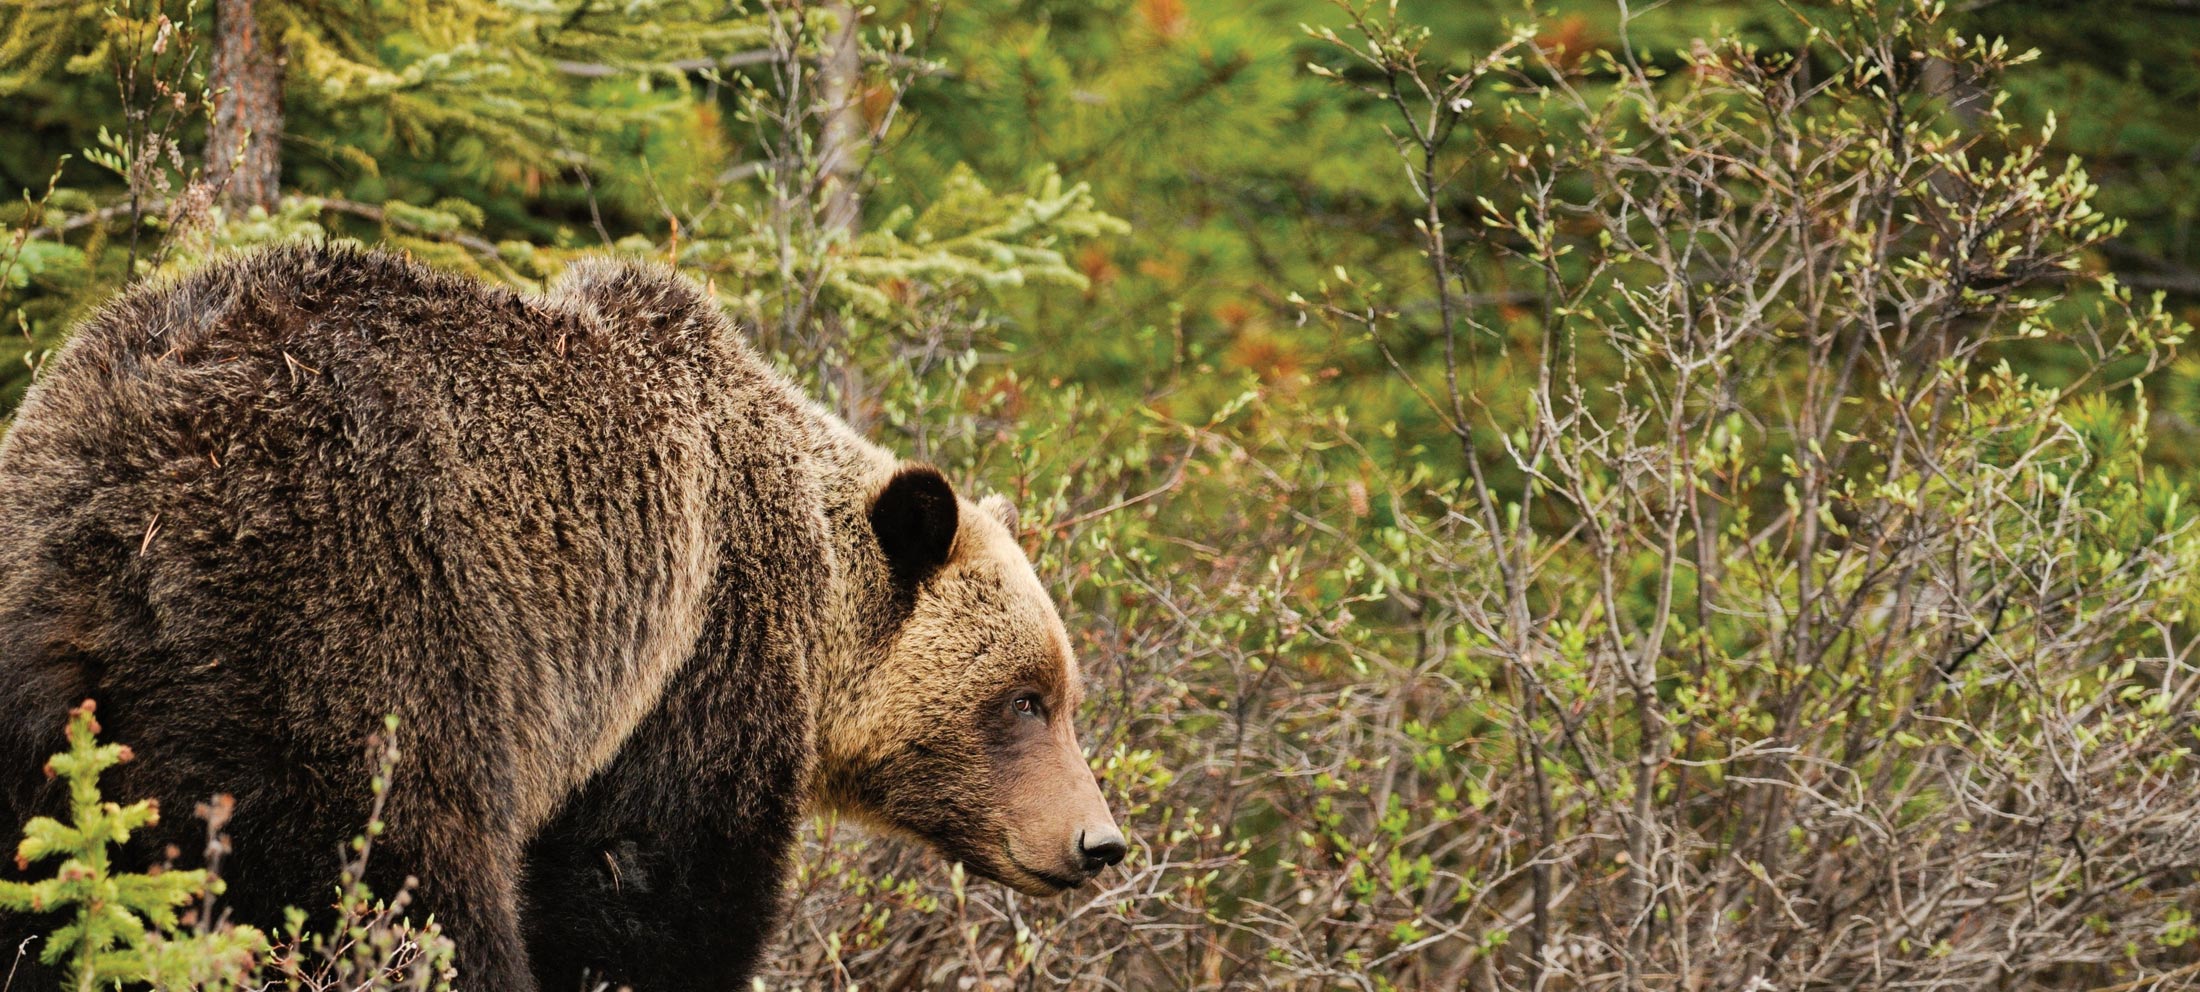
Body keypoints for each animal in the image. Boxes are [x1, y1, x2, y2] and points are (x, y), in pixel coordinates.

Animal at [0, 243, 1125, 992]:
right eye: (1022, 698)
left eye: (1064, 693)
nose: (1098, 840)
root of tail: (106, 520)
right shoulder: (696, 645)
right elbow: (647, 877)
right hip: (351, 629)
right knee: (406, 880)